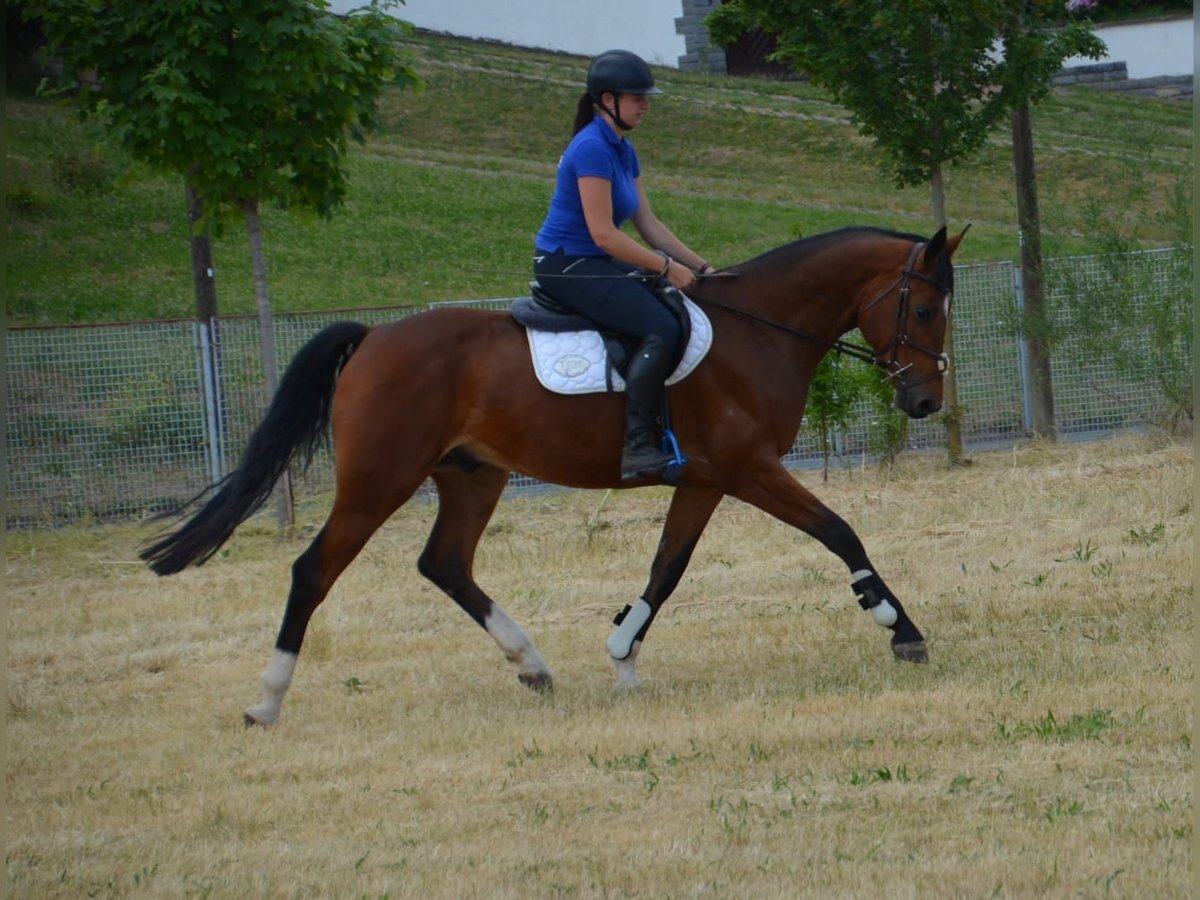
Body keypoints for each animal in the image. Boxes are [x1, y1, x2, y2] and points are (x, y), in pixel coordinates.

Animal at [140, 224, 964, 724]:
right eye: (925, 310)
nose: (926, 401)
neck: (758, 331)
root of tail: (374, 337)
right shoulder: (749, 469)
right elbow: (840, 533)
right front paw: (901, 630)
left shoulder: (704, 481)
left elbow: (667, 569)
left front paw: (623, 652)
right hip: (379, 480)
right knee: (314, 570)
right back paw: (267, 700)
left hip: (472, 475)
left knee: (445, 563)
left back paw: (531, 664)